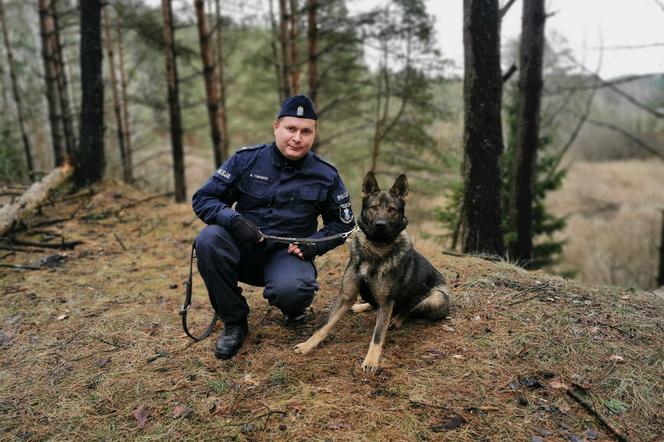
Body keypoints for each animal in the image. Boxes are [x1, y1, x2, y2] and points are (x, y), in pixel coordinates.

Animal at [296, 171, 452, 372]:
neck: (375, 250)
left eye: (392, 209)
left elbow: (378, 335)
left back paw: (396, 320)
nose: (380, 224)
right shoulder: (345, 296)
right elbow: (324, 325)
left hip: (436, 298)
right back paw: (362, 306)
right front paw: (308, 345)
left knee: (409, 309)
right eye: (374, 208)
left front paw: (371, 361)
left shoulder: (386, 302)